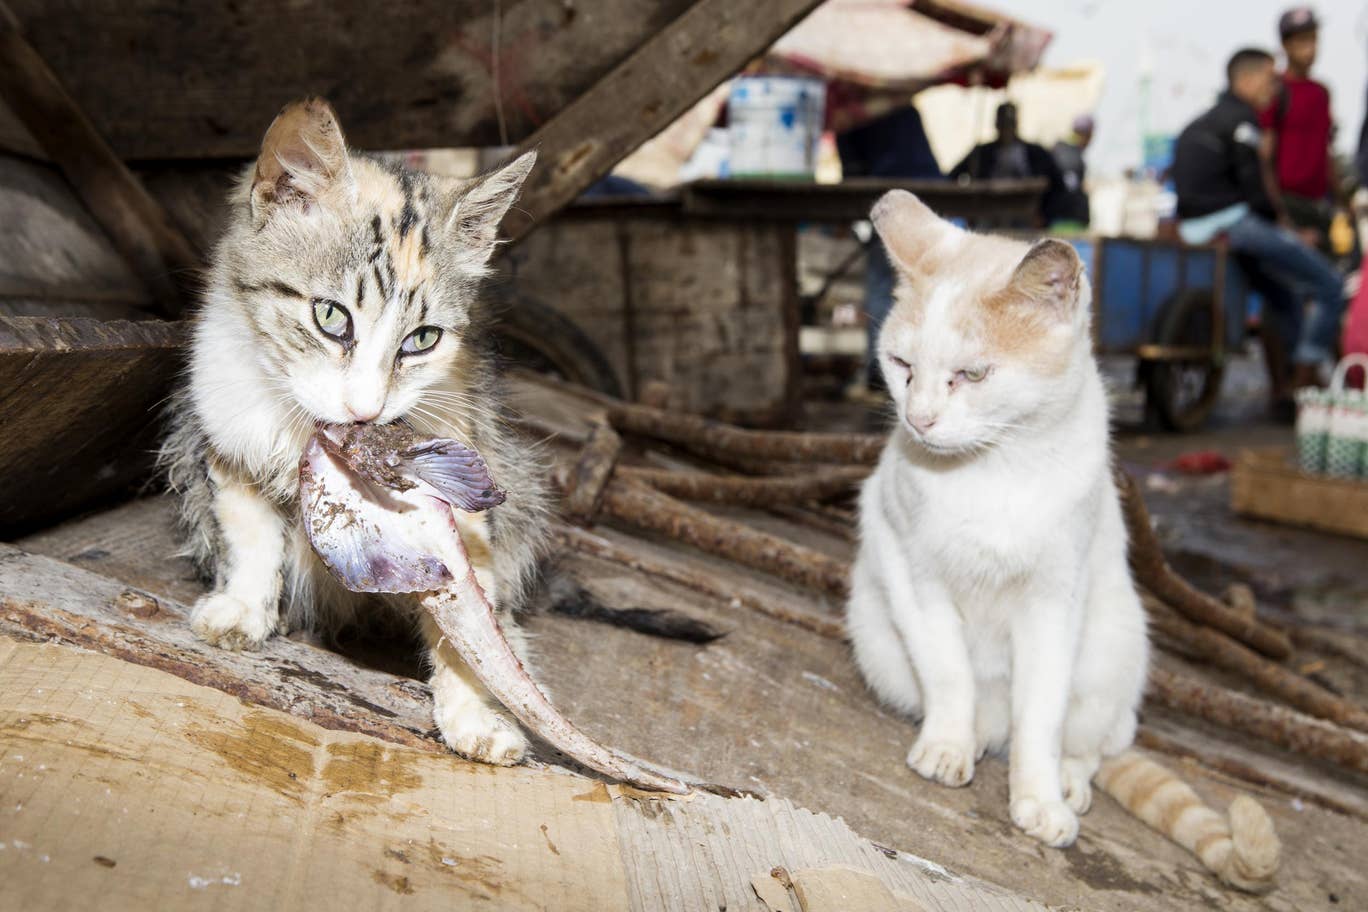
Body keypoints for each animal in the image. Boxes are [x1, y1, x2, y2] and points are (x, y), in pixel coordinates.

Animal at [160, 99, 544, 765]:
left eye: (423, 339)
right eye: (330, 316)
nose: (365, 413)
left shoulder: (464, 484)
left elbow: (468, 608)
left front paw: (474, 709)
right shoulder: (226, 435)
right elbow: (250, 534)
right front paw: (245, 608)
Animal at [848, 188, 1274, 896]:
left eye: (972, 374)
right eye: (902, 365)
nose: (919, 420)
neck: (993, 470)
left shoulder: (1054, 602)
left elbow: (1041, 717)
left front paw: (1038, 798)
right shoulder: (911, 569)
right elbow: (949, 671)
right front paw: (947, 745)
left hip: (1113, 647)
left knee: (1096, 744)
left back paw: (1068, 782)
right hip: (877, 641)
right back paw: (976, 740)